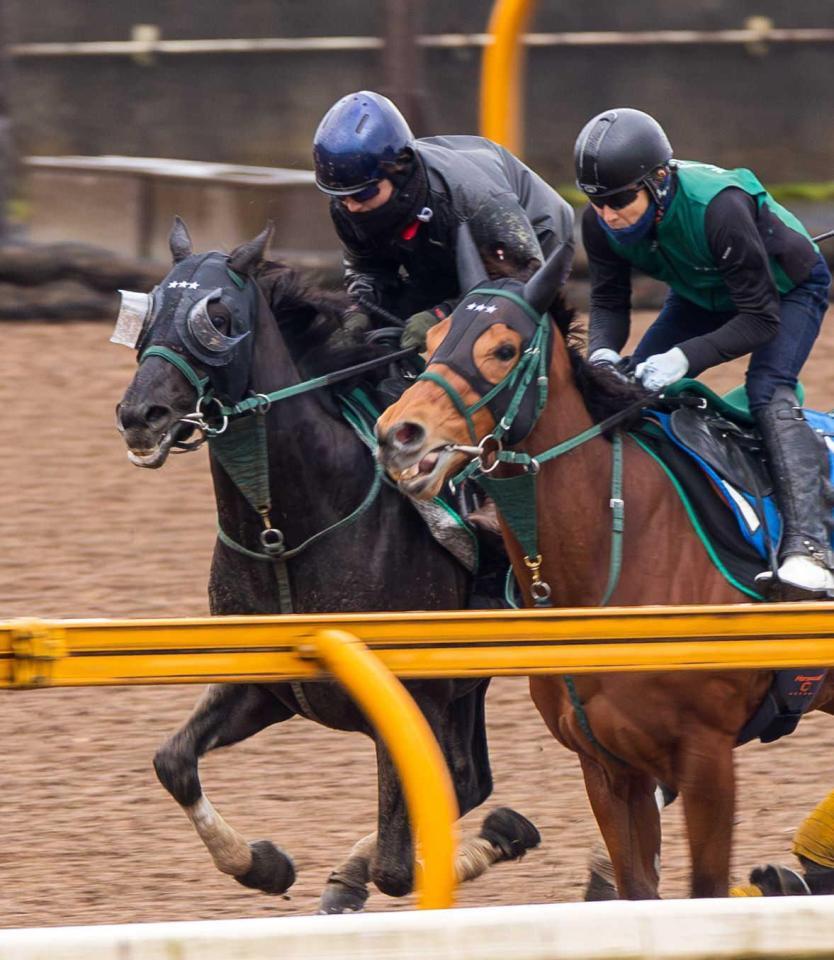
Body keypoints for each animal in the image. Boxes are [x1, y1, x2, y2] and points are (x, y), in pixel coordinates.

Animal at [114, 219, 540, 913]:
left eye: (218, 317)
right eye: (147, 310)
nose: (140, 415)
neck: (284, 536)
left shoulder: (412, 697)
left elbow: (400, 864)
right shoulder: (269, 686)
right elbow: (172, 762)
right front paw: (263, 864)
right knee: (469, 780)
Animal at [376, 225, 834, 899]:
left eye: (504, 348)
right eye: (430, 344)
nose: (398, 434)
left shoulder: (707, 757)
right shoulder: (607, 767)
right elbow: (635, 889)